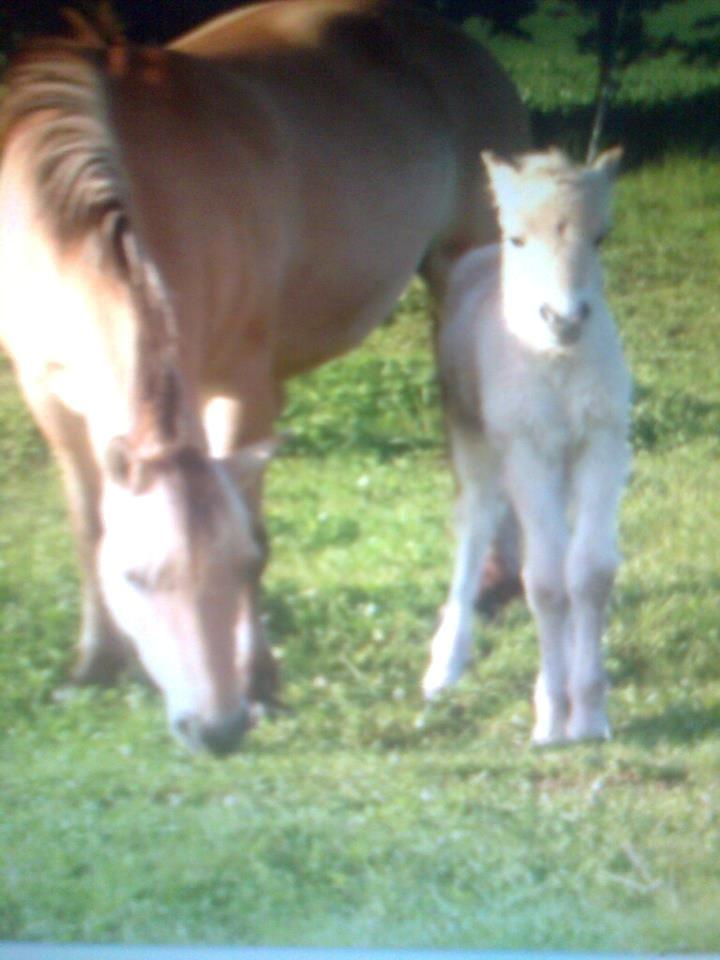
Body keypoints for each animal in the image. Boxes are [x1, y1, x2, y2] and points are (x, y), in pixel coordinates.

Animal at [0, 0, 531, 754]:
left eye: (244, 566)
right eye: (135, 578)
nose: (217, 729)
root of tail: (457, 44)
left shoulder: (239, 386)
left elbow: (248, 511)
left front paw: (260, 681)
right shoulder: (47, 397)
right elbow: (85, 522)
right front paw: (94, 665)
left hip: (468, 267)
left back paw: (489, 581)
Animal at [423, 148, 631, 744]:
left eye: (600, 236)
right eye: (518, 239)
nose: (564, 318)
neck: (555, 361)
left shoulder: (602, 443)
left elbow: (588, 572)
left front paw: (589, 713)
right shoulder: (524, 450)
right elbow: (544, 581)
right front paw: (552, 715)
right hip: (475, 441)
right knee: (476, 526)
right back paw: (445, 663)